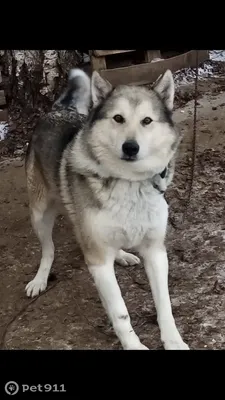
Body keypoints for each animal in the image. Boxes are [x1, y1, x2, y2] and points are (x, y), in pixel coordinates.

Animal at [24, 67, 188, 348]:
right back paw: (40, 278)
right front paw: (134, 345)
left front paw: (173, 340)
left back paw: (122, 255)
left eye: (147, 121)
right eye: (118, 118)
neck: (129, 182)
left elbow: (164, 304)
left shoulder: (156, 251)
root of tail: (58, 110)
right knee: (48, 250)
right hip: (40, 215)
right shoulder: (99, 263)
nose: (130, 147)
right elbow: (120, 313)